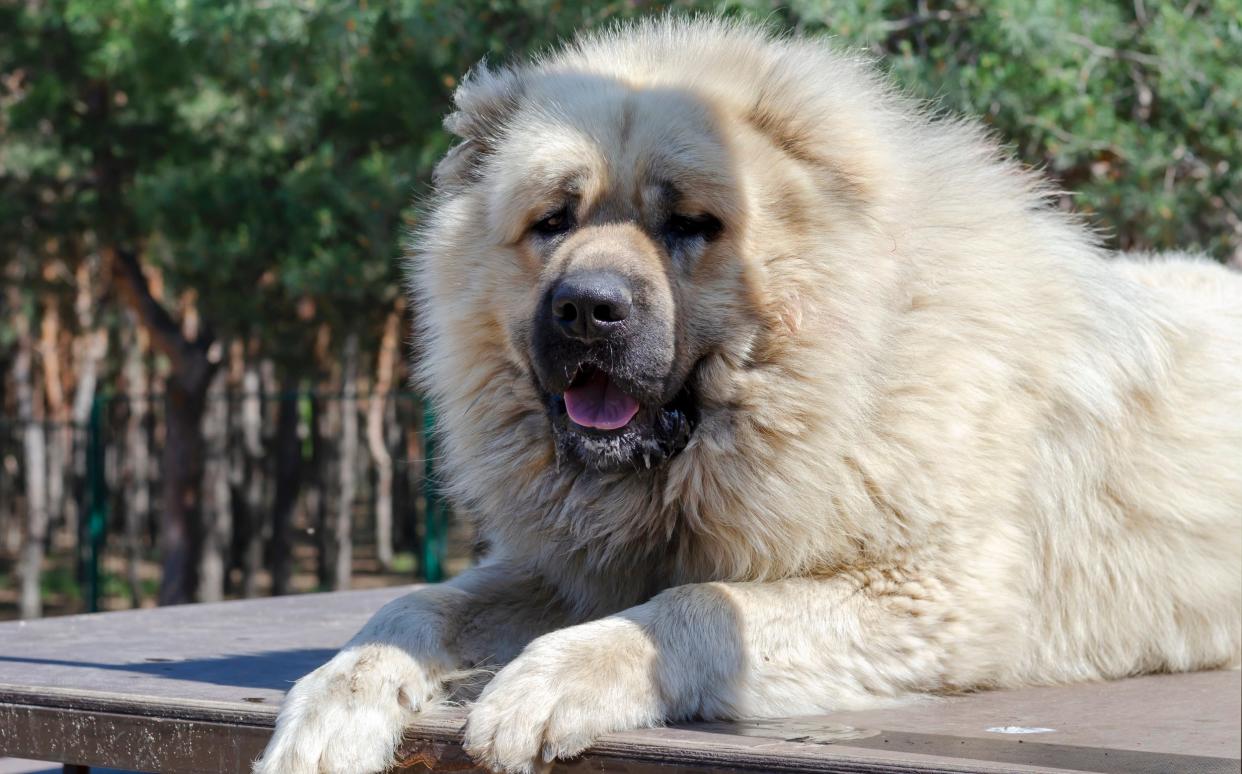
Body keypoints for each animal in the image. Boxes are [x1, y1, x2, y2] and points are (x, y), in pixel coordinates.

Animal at [254, 16, 1242, 774]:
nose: (587, 308)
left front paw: (543, 684)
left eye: (690, 224)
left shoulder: (927, 596)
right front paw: (328, 711)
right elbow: (416, 607)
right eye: (553, 221)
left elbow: (693, 607)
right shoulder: (571, 569)